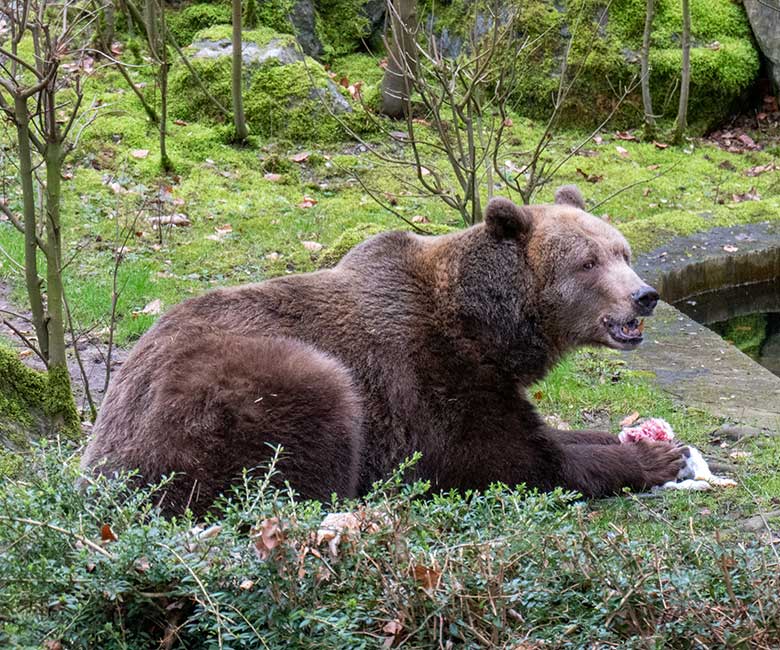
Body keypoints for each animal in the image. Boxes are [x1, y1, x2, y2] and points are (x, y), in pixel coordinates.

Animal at [82, 185, 684, 512]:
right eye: (587, 262)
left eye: (622, 250)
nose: (645, 295)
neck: (488, 329)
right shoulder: (428, 375)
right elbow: (503, 457)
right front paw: (655, 458)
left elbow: (546, 433)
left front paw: (637, 438)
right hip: (226, 394)